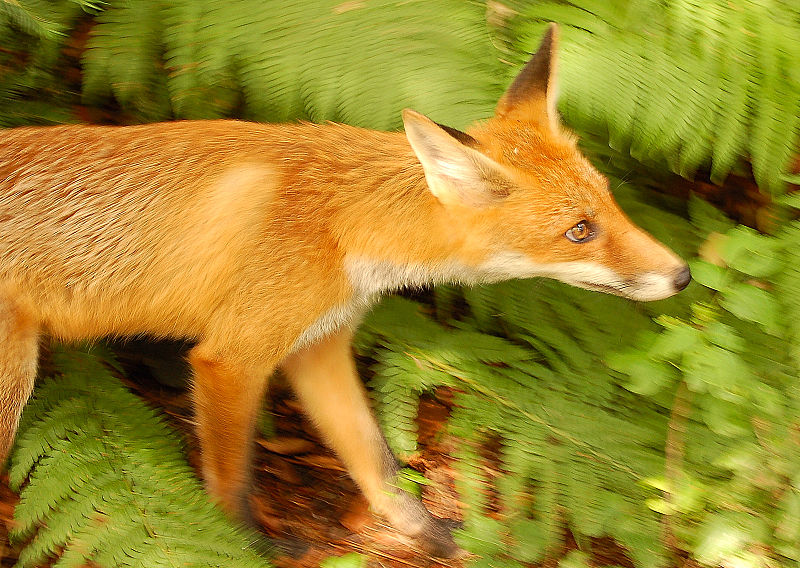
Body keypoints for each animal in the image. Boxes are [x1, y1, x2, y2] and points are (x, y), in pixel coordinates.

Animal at [0, 25, 688, 556]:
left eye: (609, 201)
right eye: (580, 231)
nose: (682, 275)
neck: (344, 224)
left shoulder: (319, 347)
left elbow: (378, 464)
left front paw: (428, 534)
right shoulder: (233, 358)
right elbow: (232, 479)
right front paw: (239, 543)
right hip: (13, 383)